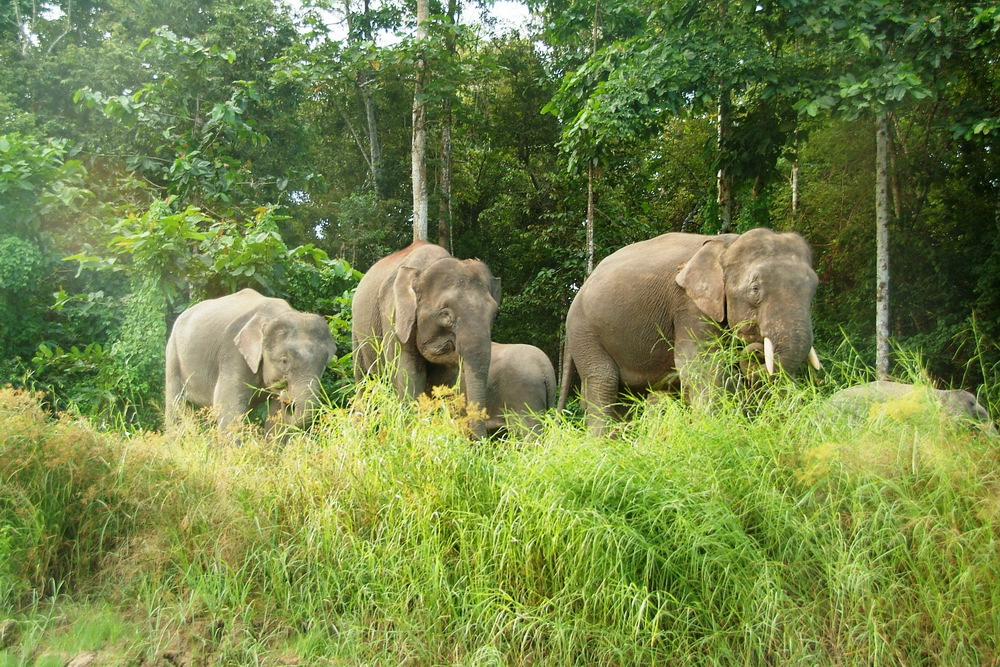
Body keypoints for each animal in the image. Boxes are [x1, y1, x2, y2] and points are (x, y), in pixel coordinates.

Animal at [164, 288, 336, 438]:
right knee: (175, 404)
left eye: (324, 366)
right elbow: (229, 407)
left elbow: (276, 417)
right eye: (284, 360)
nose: (287, 396)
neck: (273, 316)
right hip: (173, 352)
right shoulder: (233, 353)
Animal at [356, 240, 504, 438]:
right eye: (445, 315)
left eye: (494, 315)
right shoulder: (393, 318)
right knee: (364, 383)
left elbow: (443, 382)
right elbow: (408, 377)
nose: (482, 443)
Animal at [556, 230, 820, 436]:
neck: (727, 244)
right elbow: (700, 365)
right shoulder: (688, 304)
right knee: (604, 382)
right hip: (585, 333)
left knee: (625, 397)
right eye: (755, 288)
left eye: (814, 288)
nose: (754, 351)